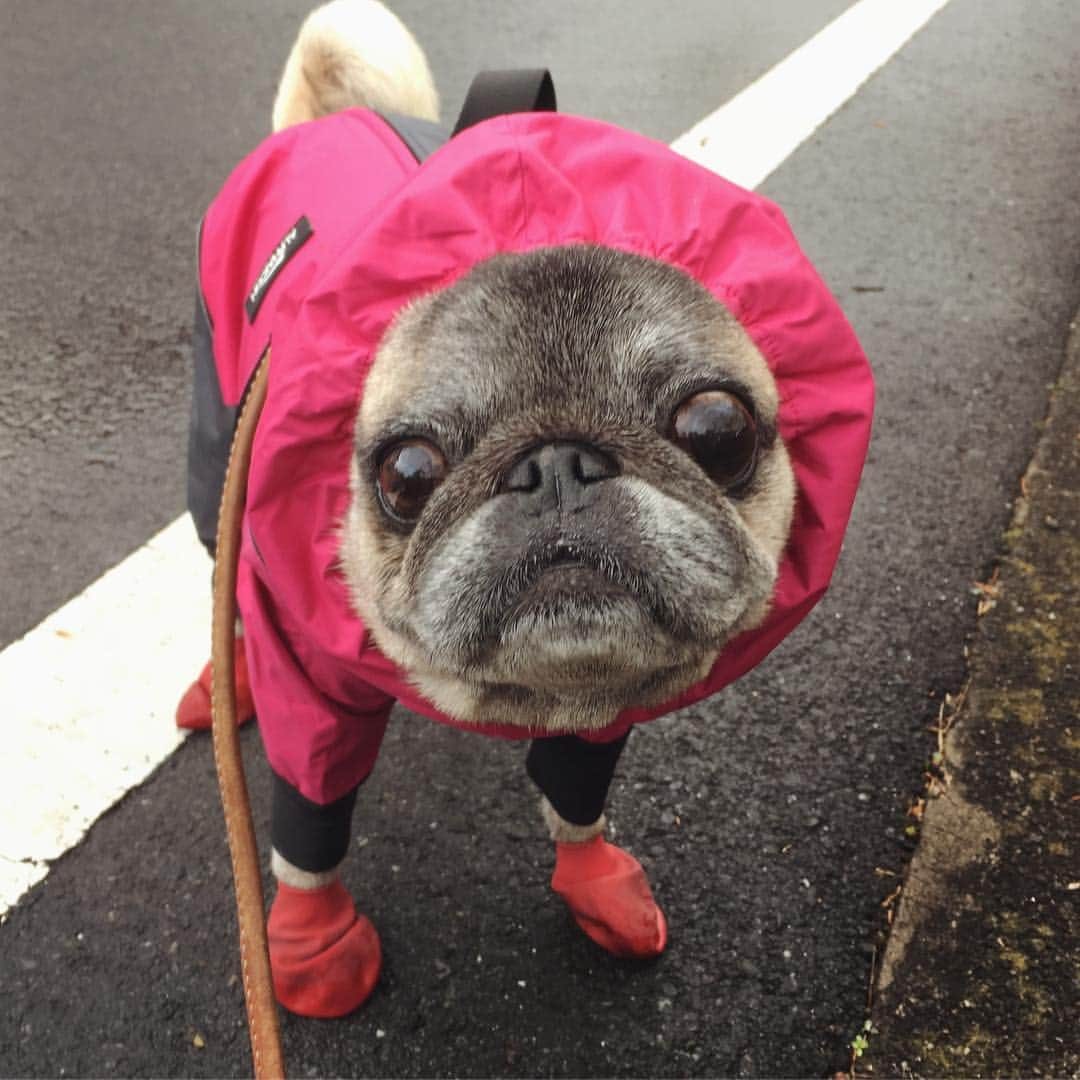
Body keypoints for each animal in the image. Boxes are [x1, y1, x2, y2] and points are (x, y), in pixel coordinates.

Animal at [177, 0, 868, 1019]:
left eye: (716, 429)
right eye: (408, 473)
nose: (557, 464)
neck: (525, 691)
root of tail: (327, 120)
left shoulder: (610, 703)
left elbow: (577, 786)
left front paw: (594, 880)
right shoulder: (312, 677)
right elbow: (312, 809)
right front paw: (310, 938)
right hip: (210, 448)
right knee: (219, 565)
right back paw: (219, 684)